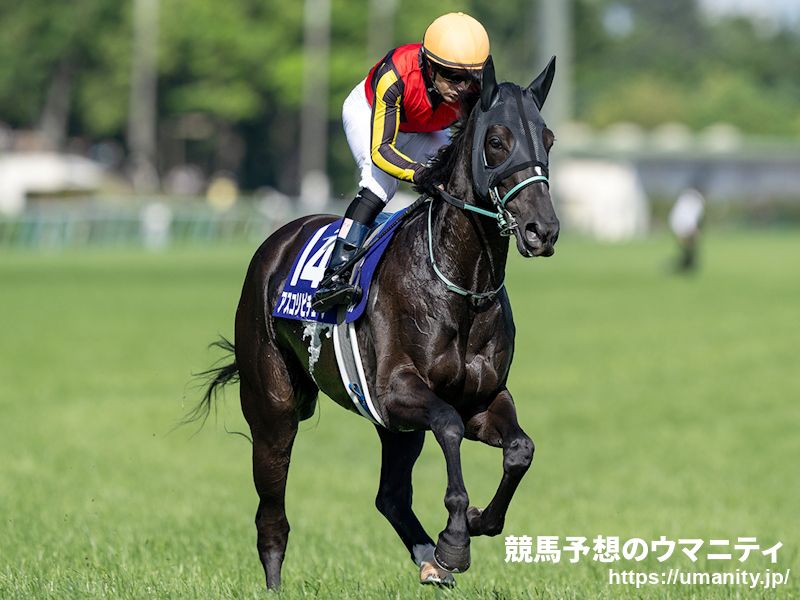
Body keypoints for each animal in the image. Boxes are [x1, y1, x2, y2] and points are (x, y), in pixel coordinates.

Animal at [193, 56, 560, 590]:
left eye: (548, 138)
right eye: (496, 140)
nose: (542, 230)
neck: (459, 282)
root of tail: (277, 240)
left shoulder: (482, 397)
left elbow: (520, 449)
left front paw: (474, 526)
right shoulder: (398, 393)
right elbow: (449, 427)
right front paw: (456, 539)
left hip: (393, 428)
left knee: (390, 497)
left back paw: (429, 560)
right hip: (273, 409)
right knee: (271, 512)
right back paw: (277, 582)